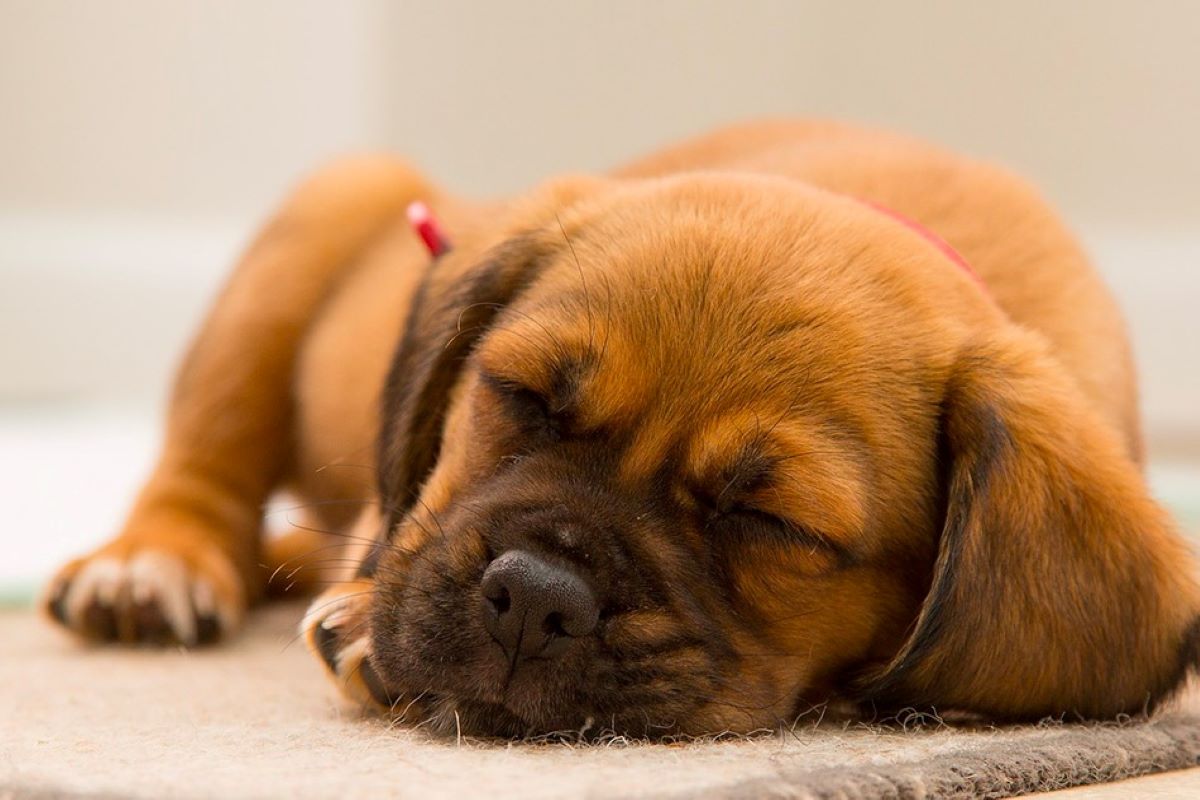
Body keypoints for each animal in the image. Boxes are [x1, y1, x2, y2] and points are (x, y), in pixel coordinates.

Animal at [42, 120, 1200, 738]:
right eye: (521, 397)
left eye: (771, 521)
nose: (534, 598)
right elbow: (397, 521)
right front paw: (368, 609)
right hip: (316, 226)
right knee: (206, 465)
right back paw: (154, 562)